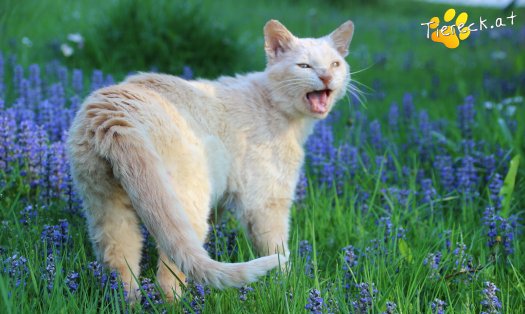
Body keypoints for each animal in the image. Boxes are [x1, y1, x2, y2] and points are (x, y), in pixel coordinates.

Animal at [65, 19, 352, 300]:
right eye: (304, 66)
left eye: (334, 64)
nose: (326, 76)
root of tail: (113, 115)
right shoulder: (266, 203)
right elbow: (278, 249)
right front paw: (289, 287)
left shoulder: (224, 199)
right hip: (187, 203)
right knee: (170, 276)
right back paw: (180, 303)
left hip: (106, 207)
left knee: (121, 266)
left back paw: (129, 301)